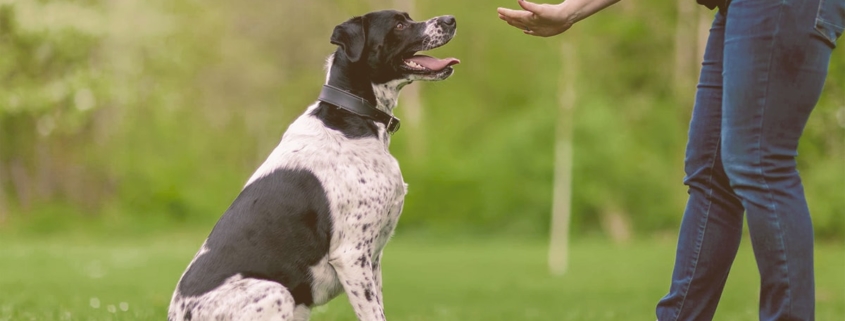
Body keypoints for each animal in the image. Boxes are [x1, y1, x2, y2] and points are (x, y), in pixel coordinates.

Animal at [167, 10, 458, 320]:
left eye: (408, 18)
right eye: (400, 25)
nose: (451, 19)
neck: (352, 116)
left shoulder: (373, 259)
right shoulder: (351, 255)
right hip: (276, 292)